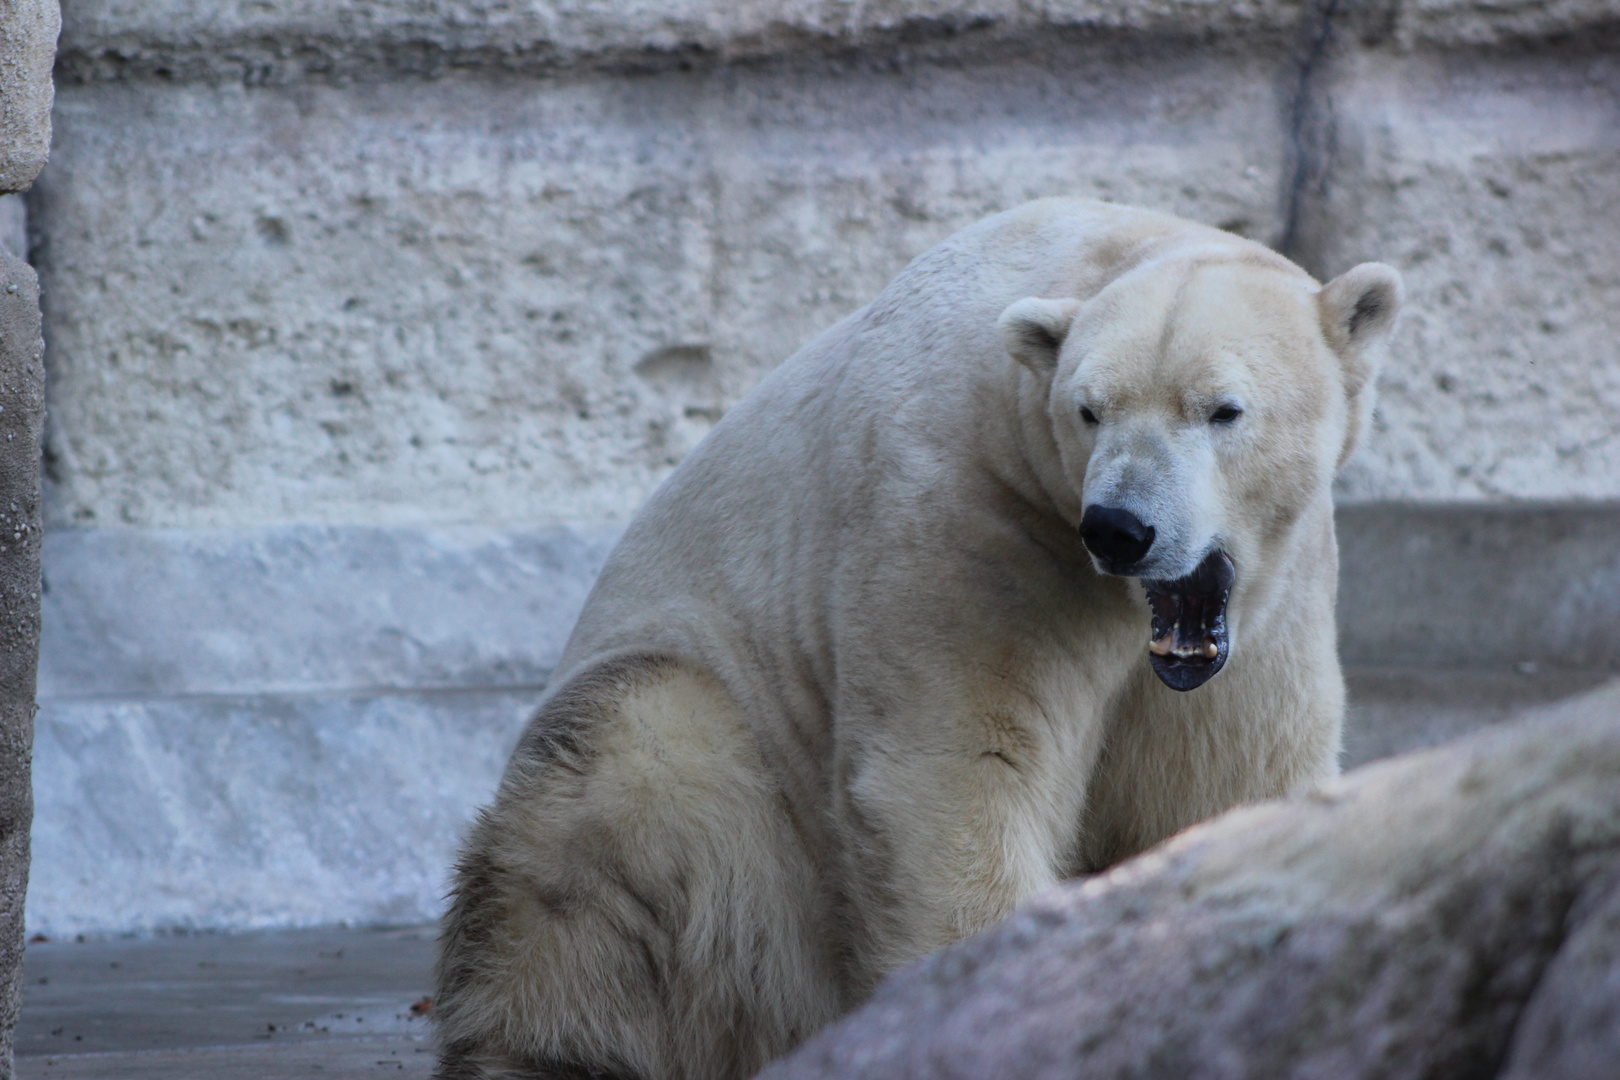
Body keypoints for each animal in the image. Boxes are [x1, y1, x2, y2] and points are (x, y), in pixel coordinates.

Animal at [437, 198, 1399, 1075]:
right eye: (1089, 409)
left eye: (1222, 409)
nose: (1121, 528)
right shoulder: (965, 523)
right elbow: (958, 770)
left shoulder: (1274, 607)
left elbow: (1229, 781)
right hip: (733, 830)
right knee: (628, 778)